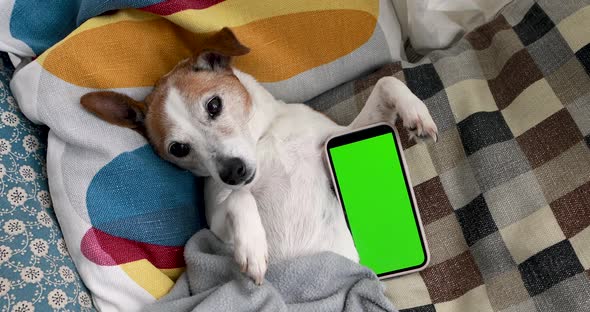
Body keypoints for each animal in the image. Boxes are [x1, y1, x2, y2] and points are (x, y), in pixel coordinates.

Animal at [80, 28, 440, 284]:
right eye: (178, 149)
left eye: (214, 105)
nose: (233, 172)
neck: (264, 139)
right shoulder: (217, 224)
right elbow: (239, 200)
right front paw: (252, 246)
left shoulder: (334, 140)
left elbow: (387, 82)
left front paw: (417, 116)